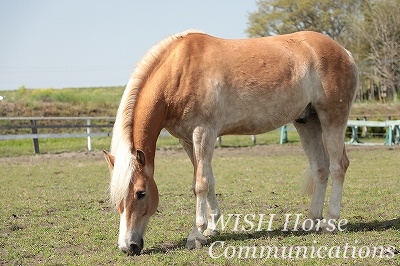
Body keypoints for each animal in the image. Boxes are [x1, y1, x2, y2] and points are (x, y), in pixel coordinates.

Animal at [103, 29, 360, 256]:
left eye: (141, 193)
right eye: (117, 198)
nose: (128, 246)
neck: (180, 72)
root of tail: (344, 52)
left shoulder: (203, 133)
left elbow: (201, 184)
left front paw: (195, 236)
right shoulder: (188, 140)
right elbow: (208, 179)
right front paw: (212, 227)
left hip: (332, 119)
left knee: (338, 166)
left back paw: (330, 222)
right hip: (307, 122)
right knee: (320, 168)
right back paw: (310, 221)